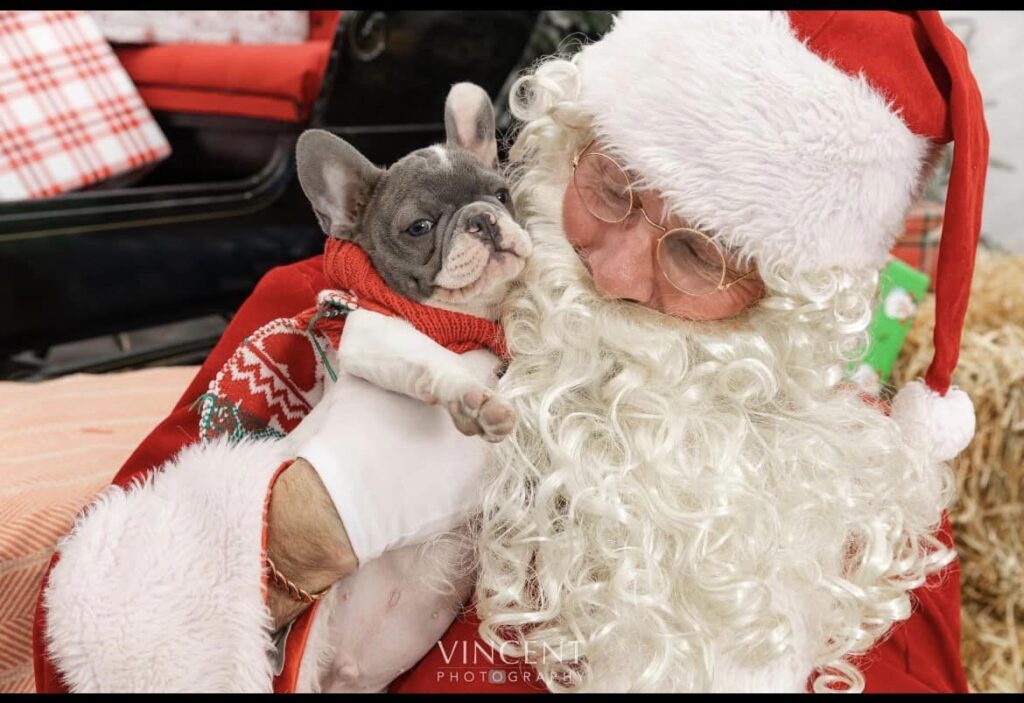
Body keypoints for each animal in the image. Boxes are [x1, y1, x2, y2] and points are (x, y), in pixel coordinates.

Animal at [294, 82, 532, 442]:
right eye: (420, 227)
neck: (467, 311)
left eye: (501, 195)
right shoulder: (371, 331)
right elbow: (433, 356)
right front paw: (472, 399)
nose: (482, 218)